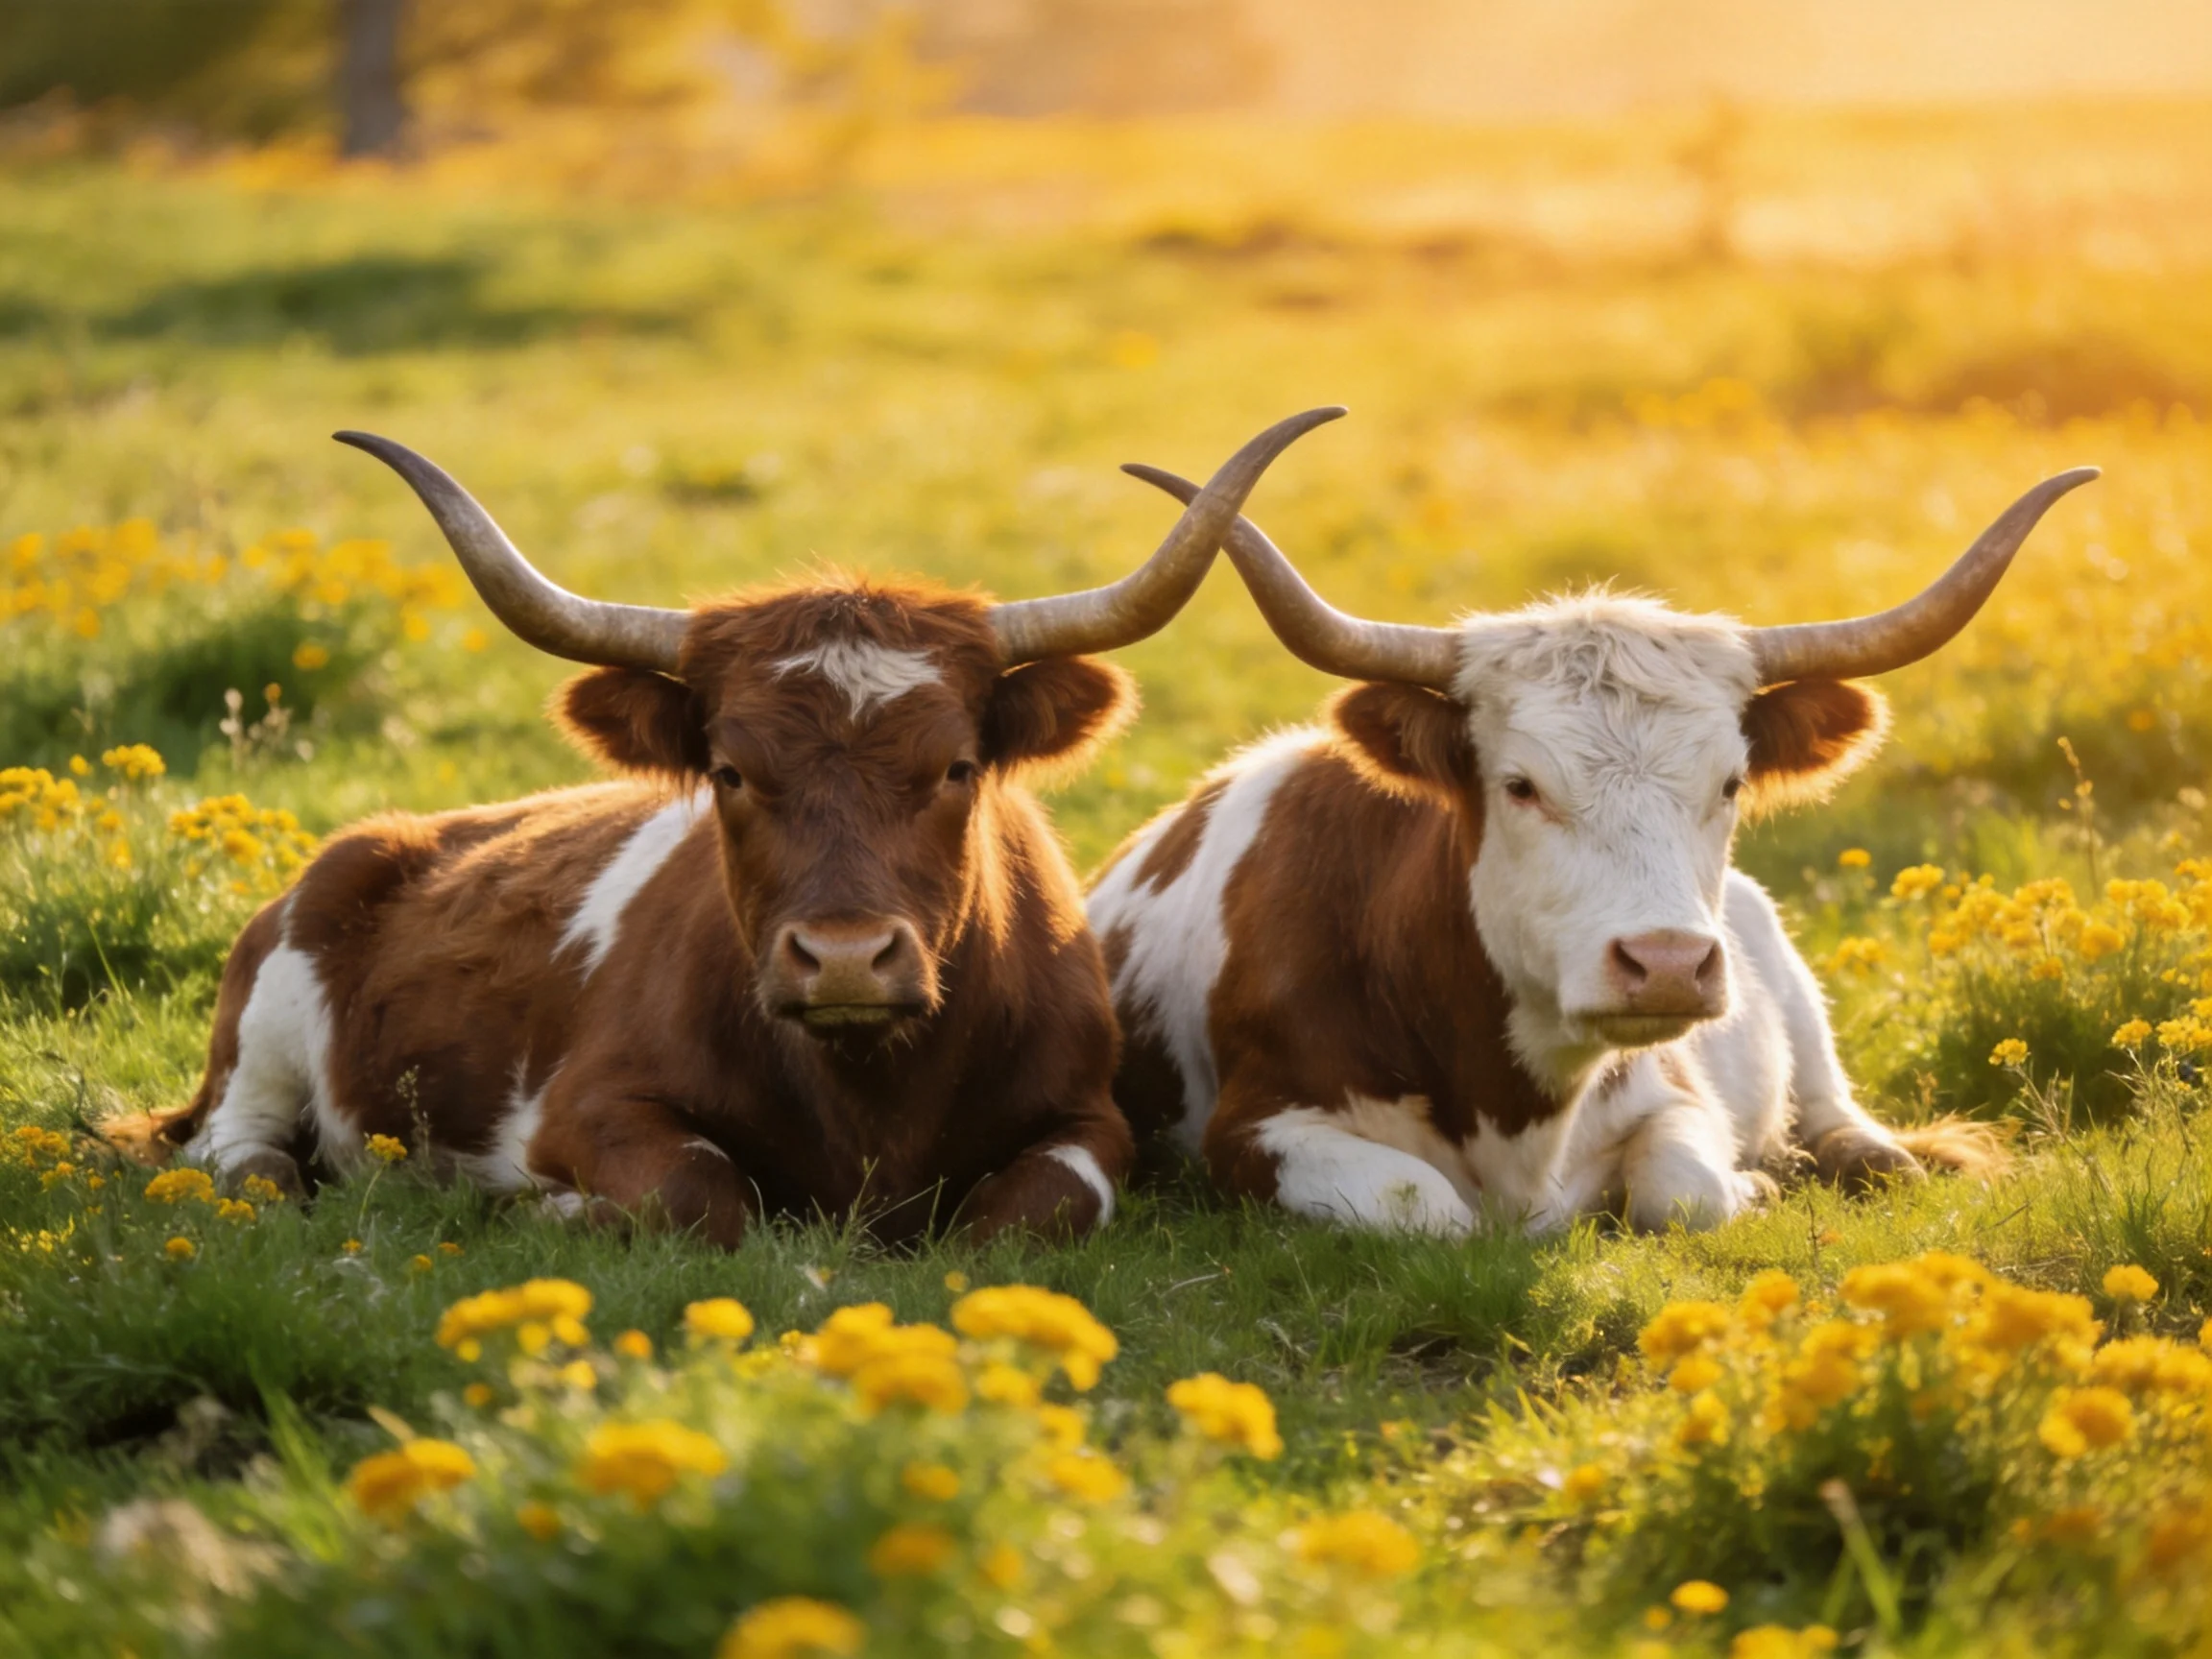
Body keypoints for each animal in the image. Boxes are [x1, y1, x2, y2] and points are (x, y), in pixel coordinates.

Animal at [152, 408, 1343, 1247]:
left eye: (956, 768)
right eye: (729, 771)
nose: (846, 957)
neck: (870, 1100)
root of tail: (377, 840)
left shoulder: (1093, 1120)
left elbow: (1030, 1215)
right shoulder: (589, 1107)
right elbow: (697, 1192)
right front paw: (546, 1209)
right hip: (263, 1045)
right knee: (246, 1159)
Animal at [1088, 461, 2096, 1235]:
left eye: (1730, 783)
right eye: (1520, 785)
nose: (1668, 964)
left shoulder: (1678, 1095)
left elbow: (1682, 1192)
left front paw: (1754, 1185)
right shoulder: (1255, 1129)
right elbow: (1425, 1208)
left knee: (1846, 1120)